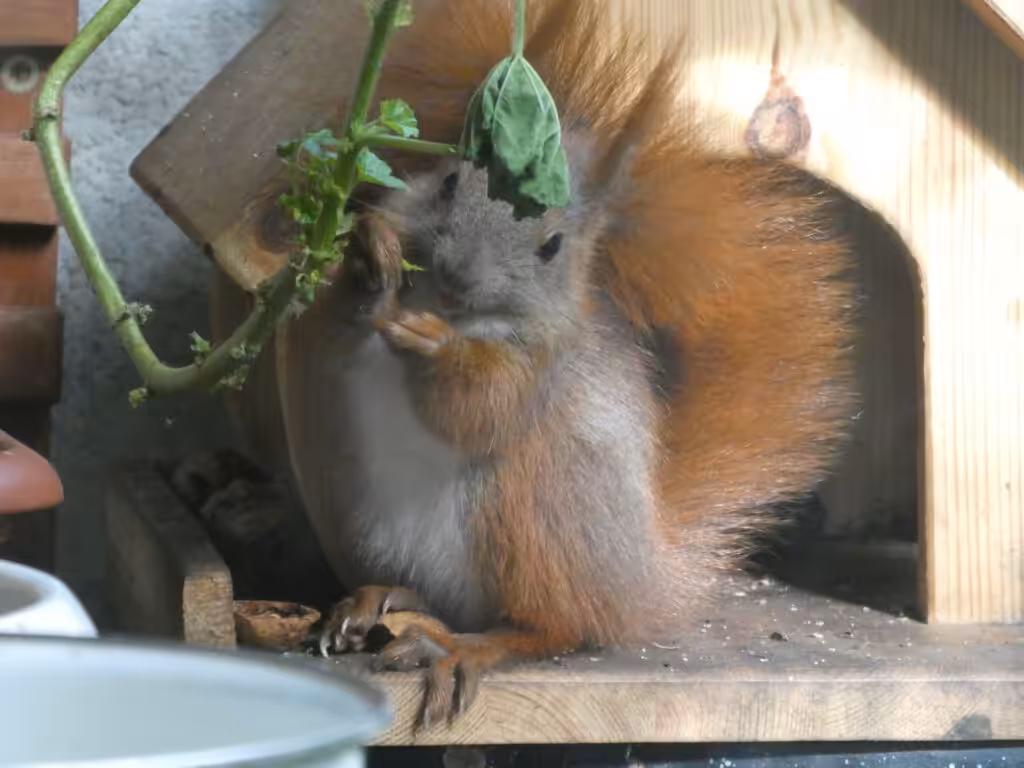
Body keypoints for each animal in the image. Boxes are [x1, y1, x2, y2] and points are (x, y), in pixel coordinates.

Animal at [209, 0, 859, 730]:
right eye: (449, 182)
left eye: (552, 246)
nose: (455, 279)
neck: (457, 313)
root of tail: (641, 582)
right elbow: (336, 334)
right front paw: (367, 254)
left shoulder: (538, 368)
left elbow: (482, 407)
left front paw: (433, 343)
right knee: (452, 599)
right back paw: (380, 601)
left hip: (529, 514)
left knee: (550, 626)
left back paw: (459, 648)